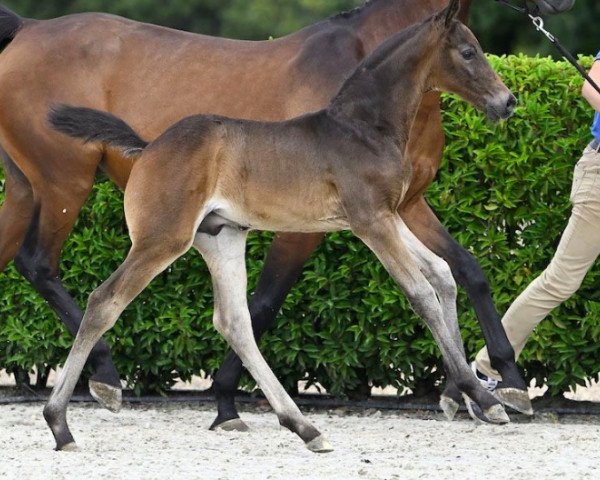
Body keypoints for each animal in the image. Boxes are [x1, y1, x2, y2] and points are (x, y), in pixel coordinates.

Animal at [0, 0, 572, 420]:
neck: (360, 124)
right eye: (469, 52)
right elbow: (410, 292)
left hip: (40, 192)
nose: (508, 102)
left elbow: (454, 273)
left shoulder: (401, 208)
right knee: (58, 274)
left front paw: (485, 389)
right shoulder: (362, 221)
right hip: (81, 191)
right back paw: (103, 380)